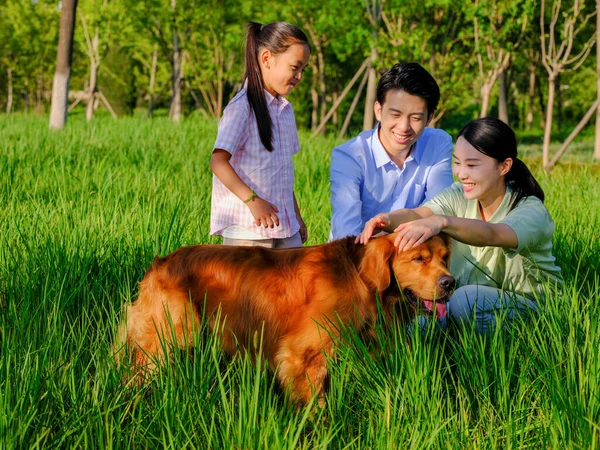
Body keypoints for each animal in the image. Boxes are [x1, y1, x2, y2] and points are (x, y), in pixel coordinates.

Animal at [115, 232, 454, 404]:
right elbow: (314, 404)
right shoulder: (302, 355)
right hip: (171, 334)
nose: (449, 283)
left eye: (445, 258)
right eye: (418, 258)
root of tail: (161, 262)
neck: (359, 276)